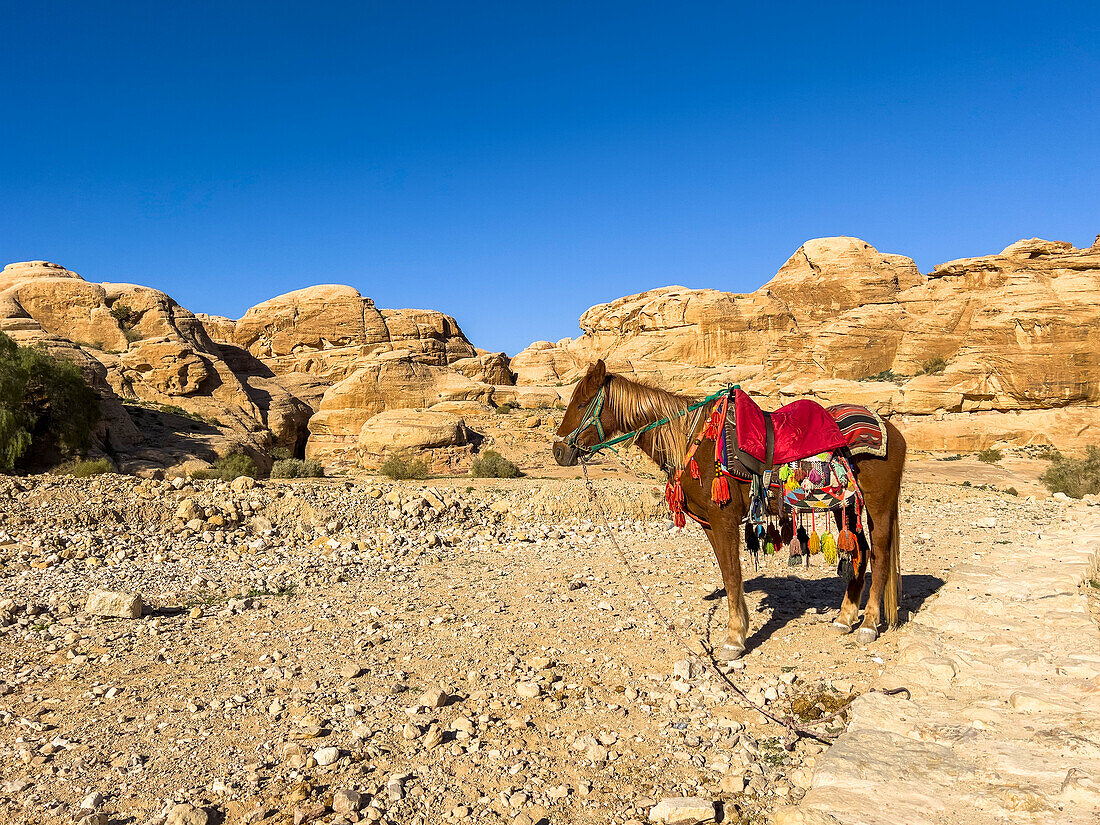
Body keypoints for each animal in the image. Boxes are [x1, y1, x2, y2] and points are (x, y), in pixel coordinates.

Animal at [550, 365, 902, 664]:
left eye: (582, 403)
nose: (558, 450)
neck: (693, 441)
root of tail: (891, 430)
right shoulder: (710, 524)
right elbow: (726, 572)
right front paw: (737, 629)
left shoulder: (724, 519)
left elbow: (733, 575)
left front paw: (734, 639)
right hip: (846, 507)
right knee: (859, 552)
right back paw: (844, 618)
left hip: (878, 505)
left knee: (879, 554)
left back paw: (869, 624)